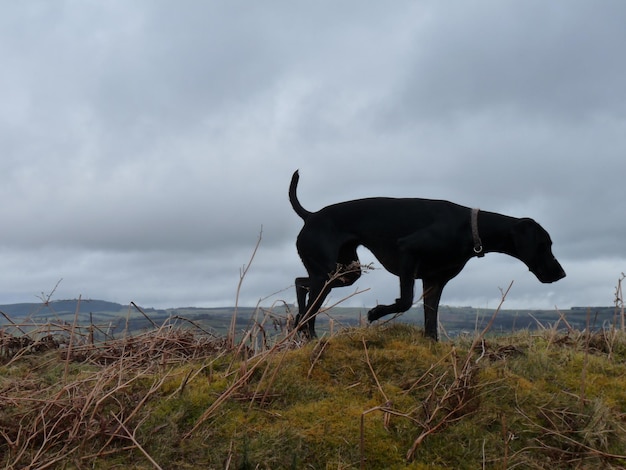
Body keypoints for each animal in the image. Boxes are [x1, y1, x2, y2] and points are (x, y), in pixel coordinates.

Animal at [290, 171, 564, 340]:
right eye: (545, 245)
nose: (562, 274)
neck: (469, 228)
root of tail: (310, 215)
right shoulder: (407, 254)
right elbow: (405, 301)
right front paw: (376, 313)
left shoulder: (435, 281)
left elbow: (431, 320)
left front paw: (432, 345)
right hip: (328, 274)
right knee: (308, 307)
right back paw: (310, 336)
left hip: (345, 272)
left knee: (300, 284)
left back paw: (300, 323)